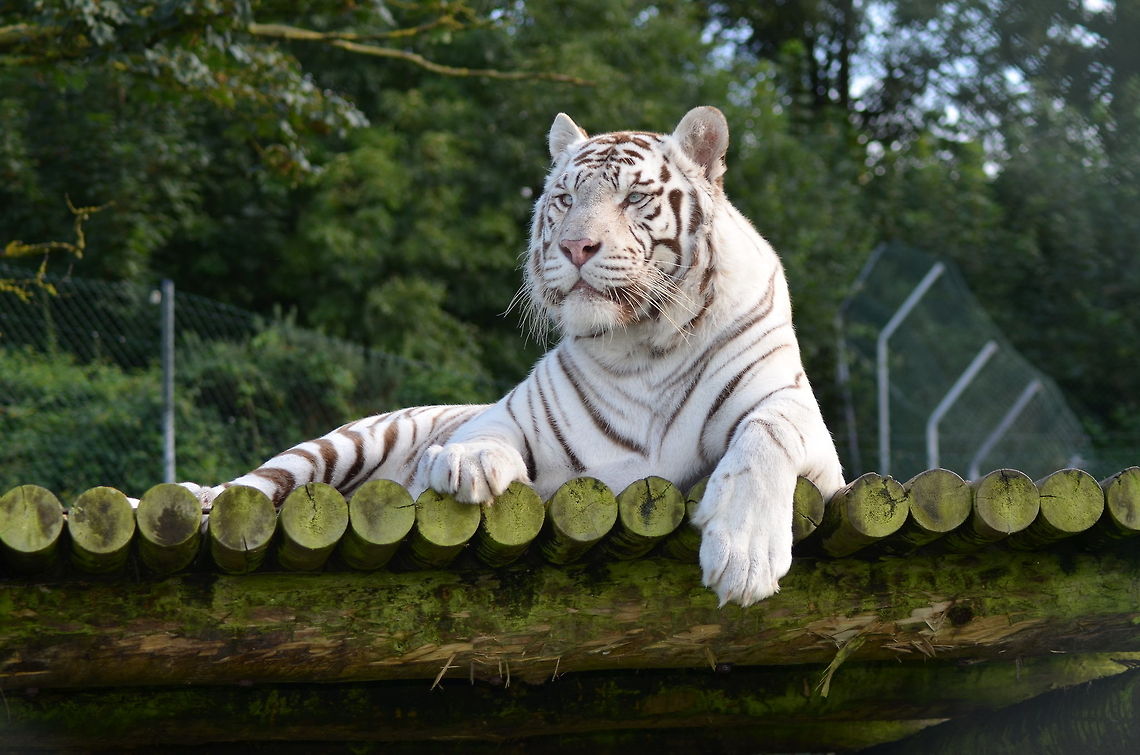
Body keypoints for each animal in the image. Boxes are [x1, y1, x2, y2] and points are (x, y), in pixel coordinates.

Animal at [185, 106, 845, 606]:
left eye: (635, 198)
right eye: (564, 198)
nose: (576, 247)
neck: (642, 346)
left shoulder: (805, 431)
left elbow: (765, 435)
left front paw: (744, 556)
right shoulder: (512, 414)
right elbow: (487, 433)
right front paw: (465, 463)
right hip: (337, 446)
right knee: (250, 485)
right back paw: (197, 496)